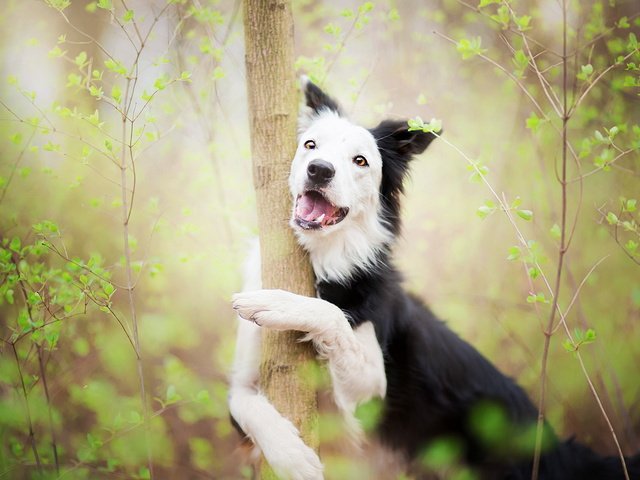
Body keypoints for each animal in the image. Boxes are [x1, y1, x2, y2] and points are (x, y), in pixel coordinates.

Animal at [228, 79, 636, 480]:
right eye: (310, 145)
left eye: (361, 161)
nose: (319, 170)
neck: (325, 260)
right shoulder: (245, 383)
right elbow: (244, 403)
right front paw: (291, 455)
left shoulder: (372, 399)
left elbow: (331, 315)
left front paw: (278, 303)